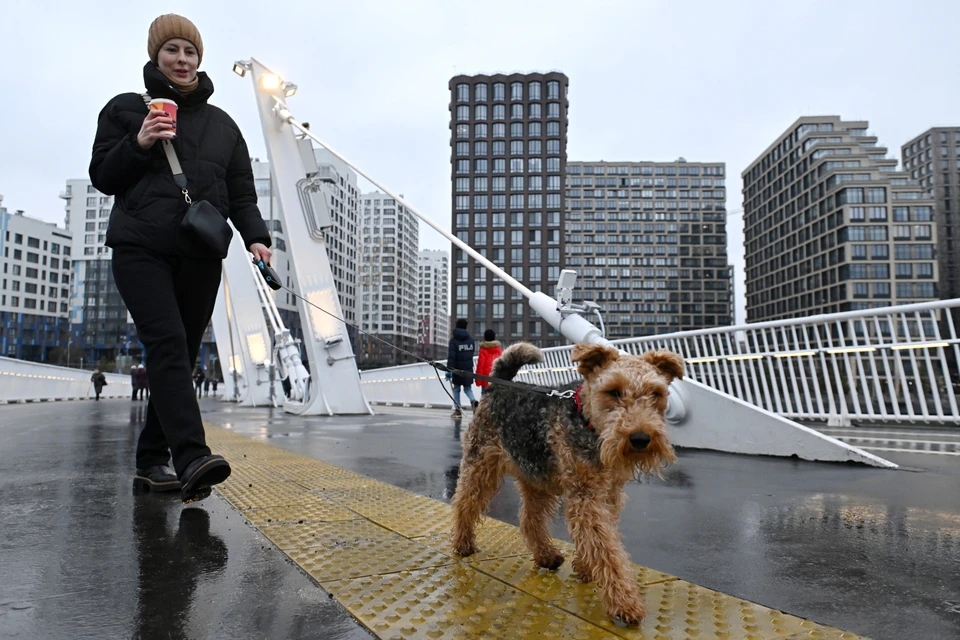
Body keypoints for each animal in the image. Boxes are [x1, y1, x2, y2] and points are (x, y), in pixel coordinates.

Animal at [452, 342, 684, 624]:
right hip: (481, 466)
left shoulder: (608, 495)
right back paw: (463, 544)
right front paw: (625, 603)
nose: (640, 438)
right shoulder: (586, 495)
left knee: (529, 519)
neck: (590, 422)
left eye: (655, 393)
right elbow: (607, 548)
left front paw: (585, 567)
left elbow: (599, 539)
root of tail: (498, 386)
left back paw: (546, 556)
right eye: (613, 391)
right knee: (464, 502)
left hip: (537, 478)